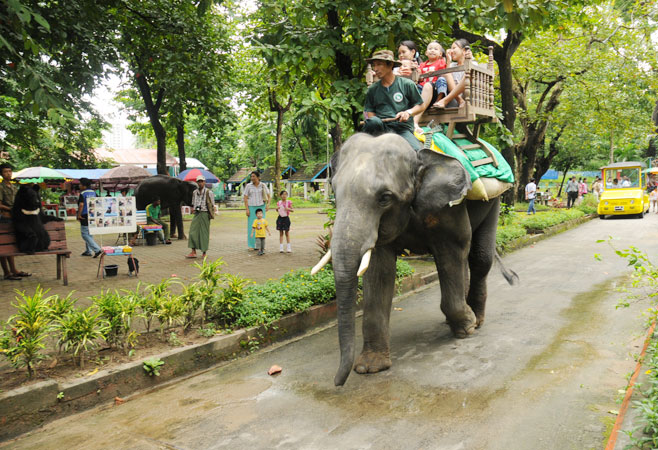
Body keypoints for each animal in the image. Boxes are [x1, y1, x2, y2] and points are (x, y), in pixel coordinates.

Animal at [312, 132, 516, 384]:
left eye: (385, 198)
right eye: (333, 190)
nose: (337, 382)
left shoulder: (449, 209)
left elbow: (453, 251)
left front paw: (467, 328)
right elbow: (379, 270)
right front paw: (370, 367)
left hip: (495, 200)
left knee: (479, 257)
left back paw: (476, 320)